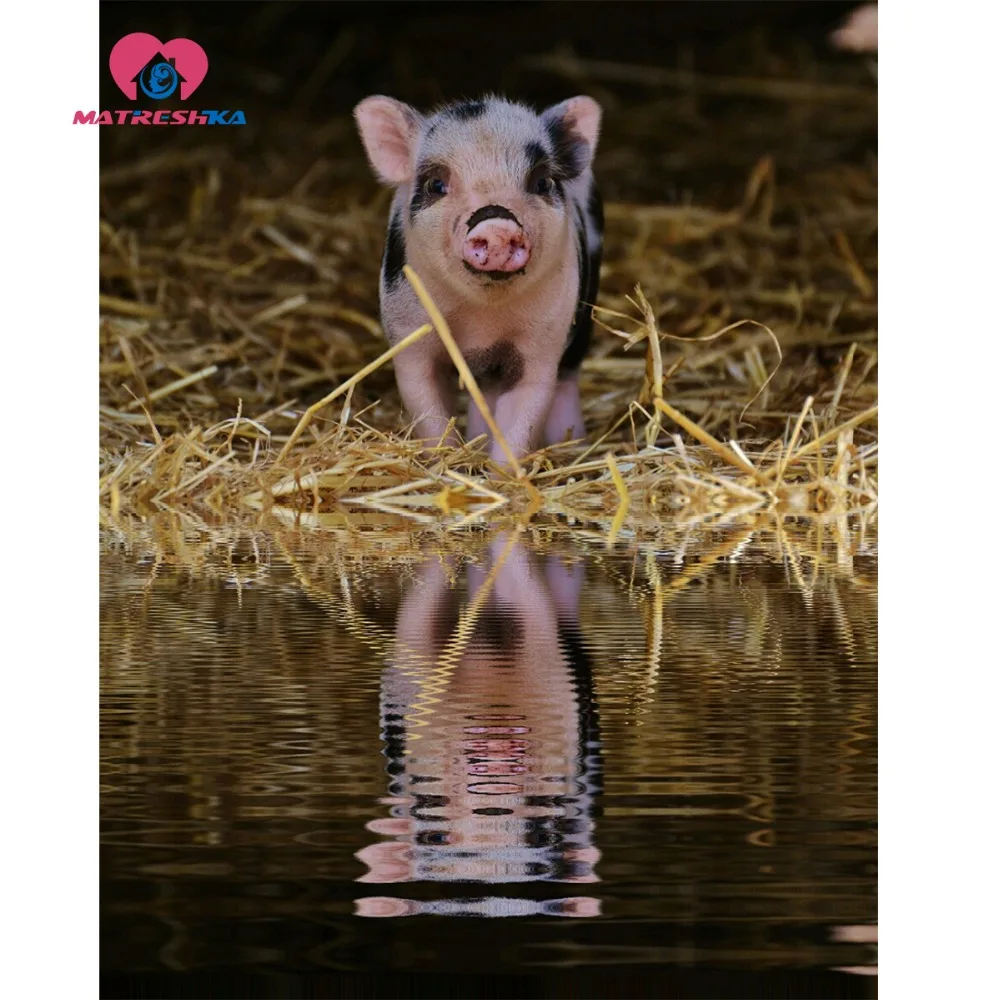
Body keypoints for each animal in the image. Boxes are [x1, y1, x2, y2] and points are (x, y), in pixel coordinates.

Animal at [353, 93, 604, 469]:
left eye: (541, 182)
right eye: (436, 185)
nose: (497, 224)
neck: (481, 321)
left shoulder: (542, 344)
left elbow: (523, 418)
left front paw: (502, 476)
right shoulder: (410, 336)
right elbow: (428, 412)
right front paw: (447, 465)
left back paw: (572, 446)